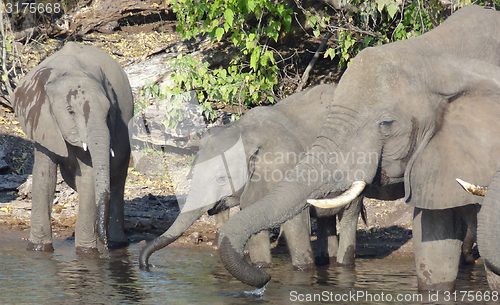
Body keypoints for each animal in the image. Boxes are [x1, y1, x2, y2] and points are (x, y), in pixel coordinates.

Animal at [13, 41, 135, 253]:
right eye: (70, 111)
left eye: (109, 113)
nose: (104, 244)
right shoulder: (42, 119)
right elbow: (45, 176)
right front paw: (38, 249)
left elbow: (88, 177)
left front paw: (87, 253)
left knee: (117, 182)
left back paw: (117, 243)